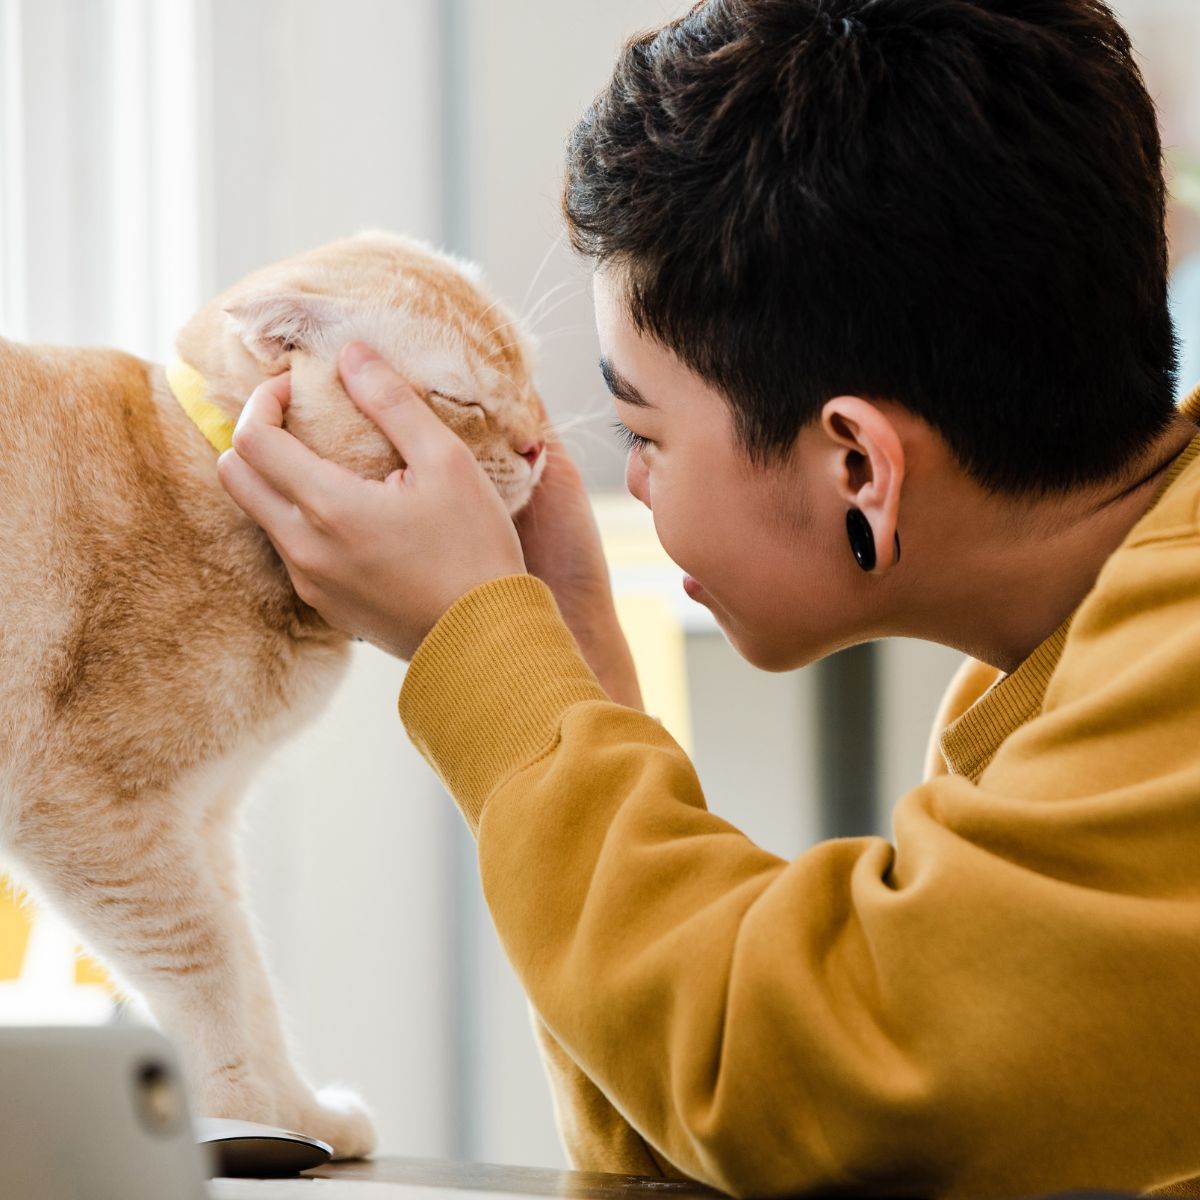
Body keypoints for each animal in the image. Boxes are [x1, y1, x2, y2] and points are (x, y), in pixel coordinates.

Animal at [0, 229, 549, 1156]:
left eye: (528, 375)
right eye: (459, 397)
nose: (544, 444)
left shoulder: (203, 822)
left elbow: (253, 980)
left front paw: (293, 1115)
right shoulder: (92, 810)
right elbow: (206, 965)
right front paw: (235, 1114)